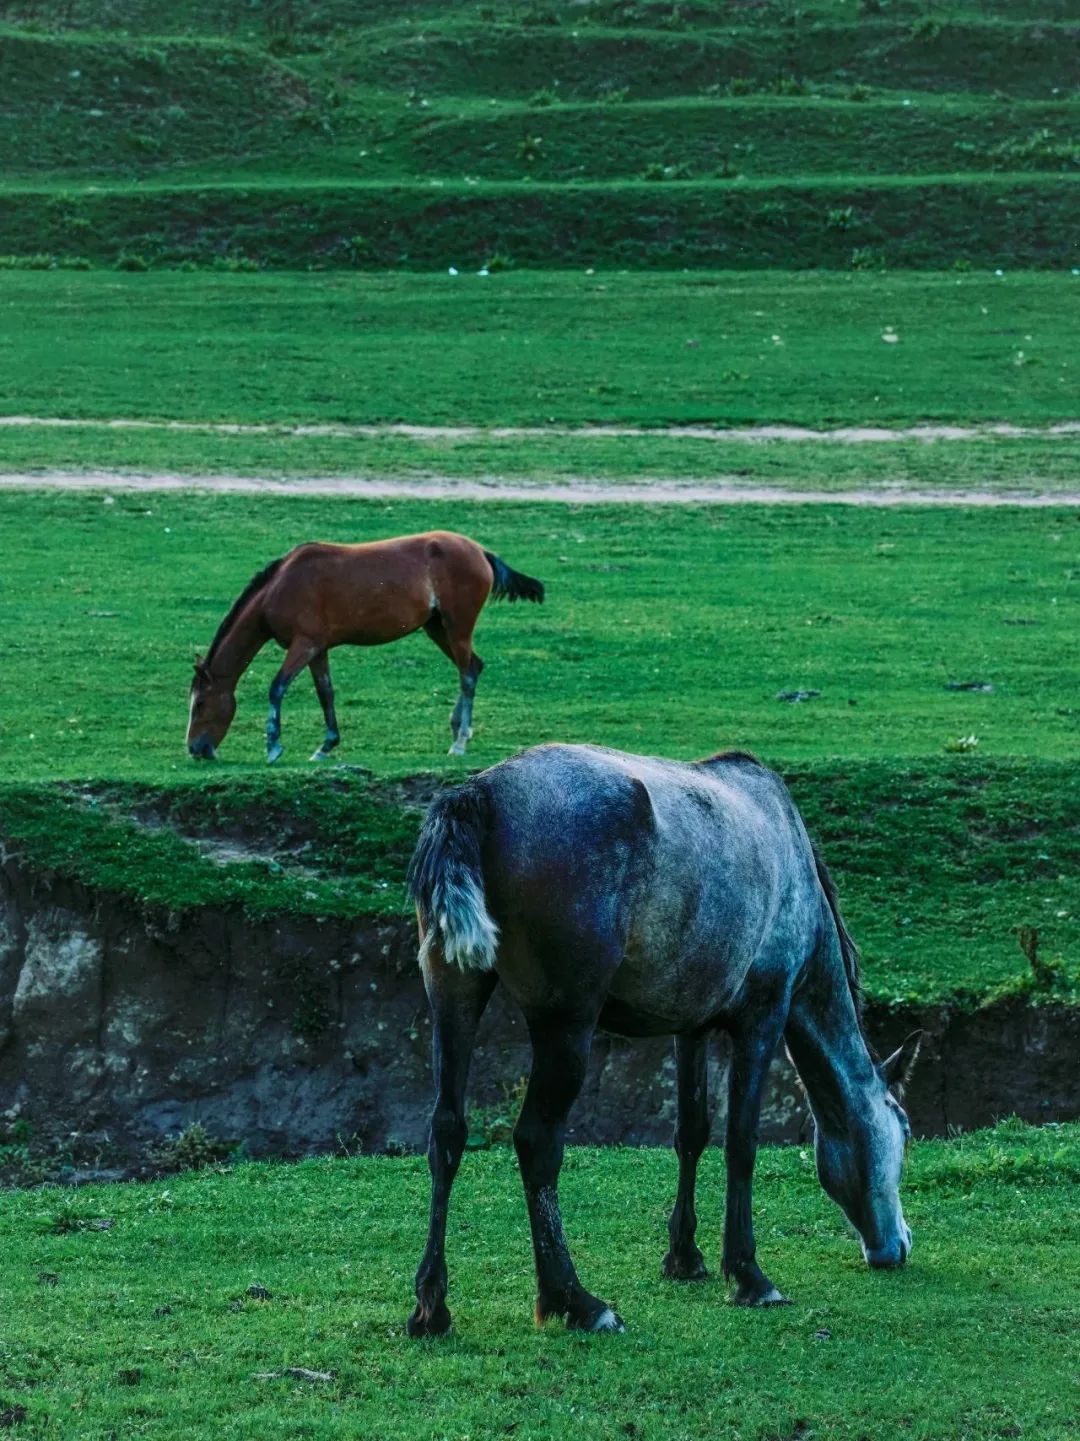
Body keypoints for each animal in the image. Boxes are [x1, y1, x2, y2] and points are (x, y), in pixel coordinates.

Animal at [183, 533, 547, 766]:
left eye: (200, 704)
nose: (195, 749)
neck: (279, 587)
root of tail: (480, 551)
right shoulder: (318, 650)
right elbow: (325, 693)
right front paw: (325, 746)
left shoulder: (304, 645)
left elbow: (277, 688)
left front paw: (273, 745)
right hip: (437, 628)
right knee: (472, 666)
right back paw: (459, 728)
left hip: (457, 626)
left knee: (468, 673)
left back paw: (459, 742)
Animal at [403, 743, 917, 1337]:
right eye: (904, 1131)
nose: (899, 1245)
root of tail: (479, 795)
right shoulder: (763, 1017)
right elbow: (741, 1142)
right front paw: (748, 1274)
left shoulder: (689, 1026)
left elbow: (691, 1133)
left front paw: (685, 1256)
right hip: (566, 1024)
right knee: (537, 1142)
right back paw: (572, 1299)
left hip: (454, 996)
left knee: (446, 1132)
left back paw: (431, 1305)